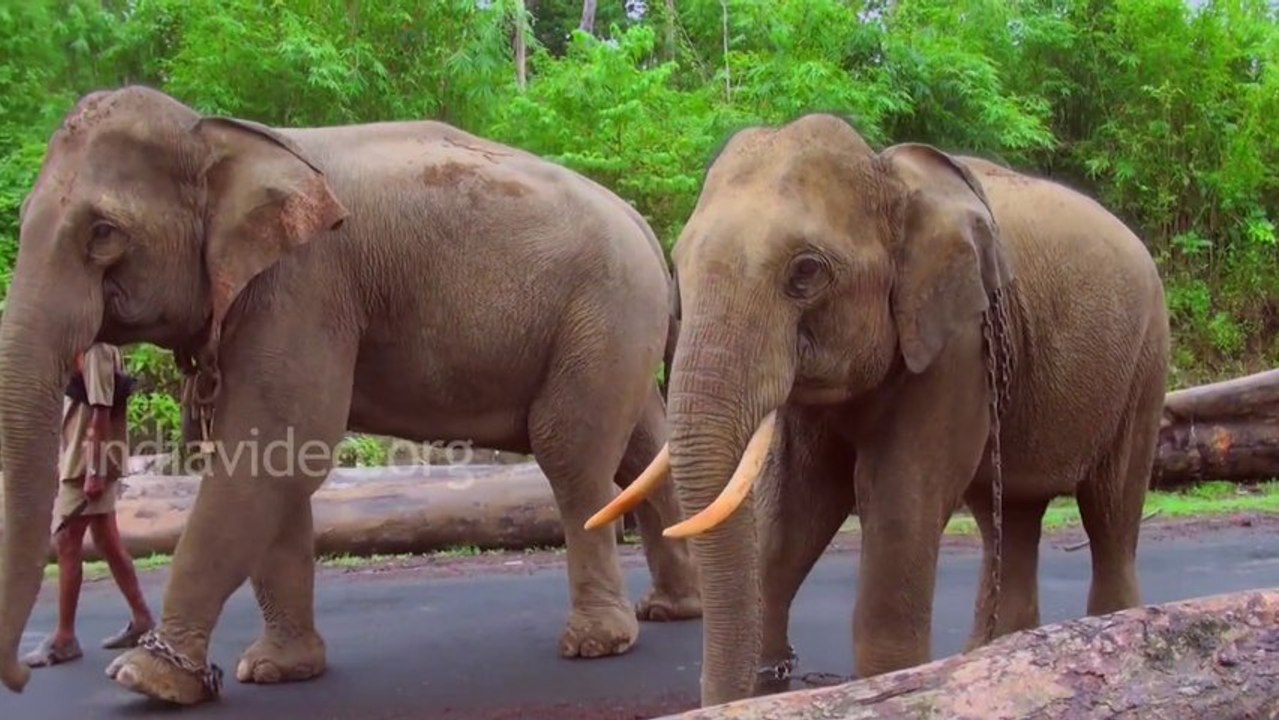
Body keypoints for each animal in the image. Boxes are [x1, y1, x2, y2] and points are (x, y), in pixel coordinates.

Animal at [0, 85, 702, 705]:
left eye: (102, 233)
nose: (25, 674)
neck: (223, 138)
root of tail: (644, 227)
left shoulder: (302, 287)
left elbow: (277, 451)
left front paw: (150, 679)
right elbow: (275, 462)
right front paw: (275, 672)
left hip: (603, 312)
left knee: (573, 455)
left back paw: (597, 644)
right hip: (617, 328)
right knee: (641, 449)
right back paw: (673, 609)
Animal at [588, 113, 1171, 706]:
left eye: (805, 272)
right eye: (677, 266)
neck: (887, 174)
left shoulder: (956, 342)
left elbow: (897, 494)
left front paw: (891, 684)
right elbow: (797, 503)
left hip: (1146, 359)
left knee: (1111, 506)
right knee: (1008, 513)